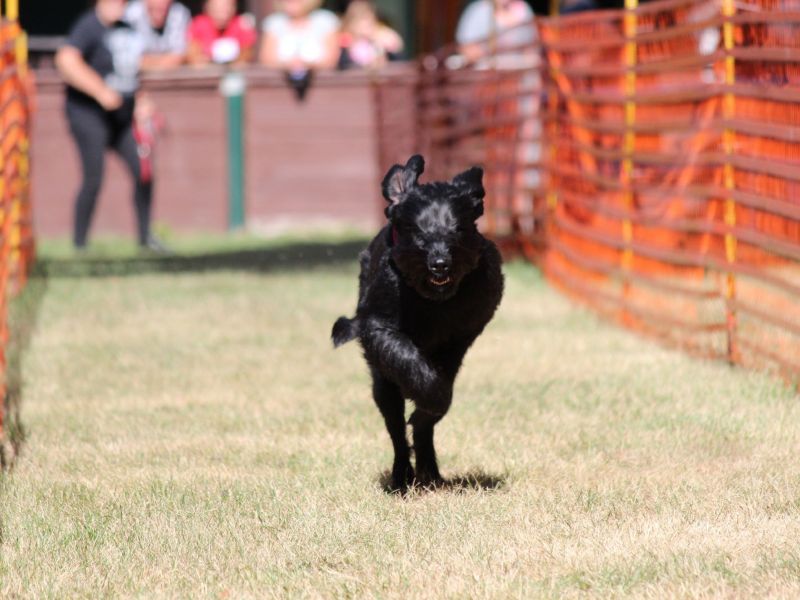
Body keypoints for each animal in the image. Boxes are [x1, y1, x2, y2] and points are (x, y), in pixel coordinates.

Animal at [330, 155, 500, 492]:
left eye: (457, 229)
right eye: (417, 230)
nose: (439, 264)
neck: (431, 301)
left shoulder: (460, 337)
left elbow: (439, 394)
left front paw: (428, 406)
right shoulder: (379, 327)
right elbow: (408, 361)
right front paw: (424, 393)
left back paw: (430, 471)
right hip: (382, 385)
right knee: (396, 427)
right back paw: (401, 476)